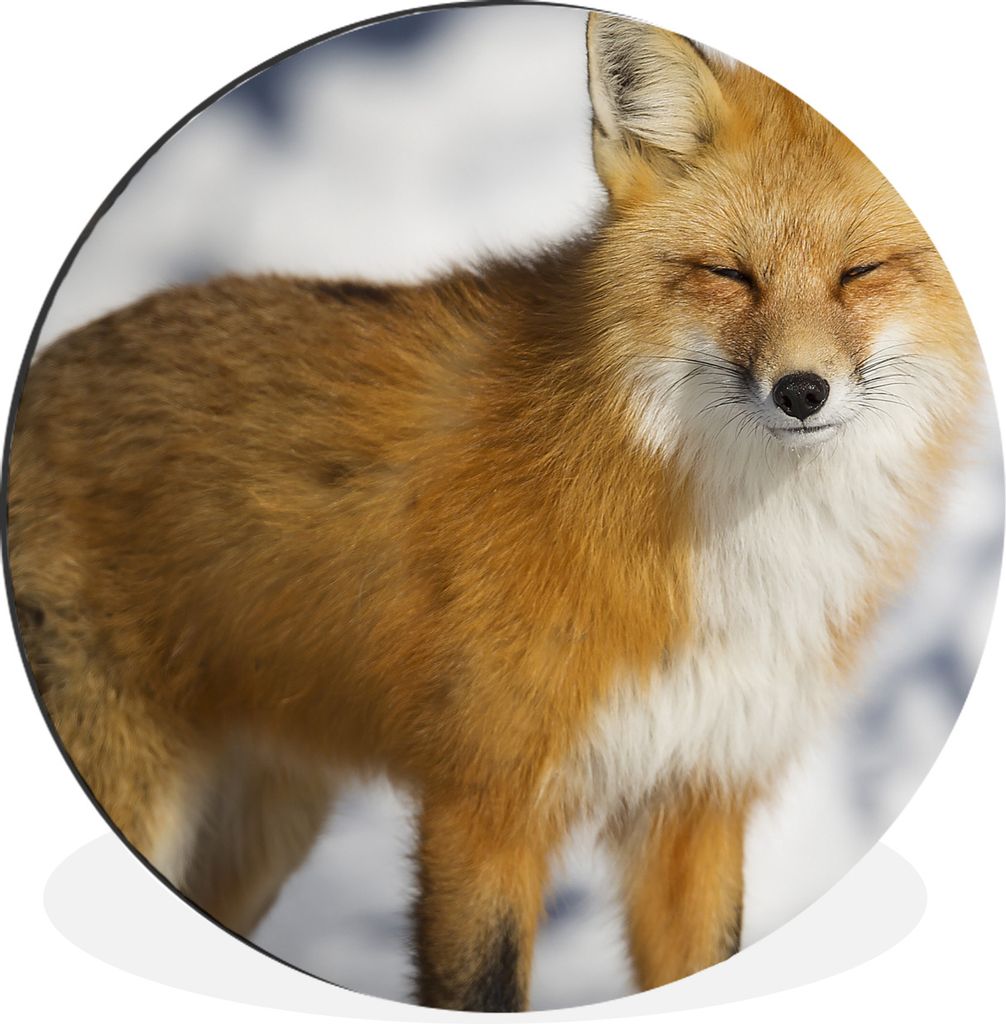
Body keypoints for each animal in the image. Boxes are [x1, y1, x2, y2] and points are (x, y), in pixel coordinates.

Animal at [4, 10, 981, 1013]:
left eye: (859, 272)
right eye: (729, 273)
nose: (800, 391)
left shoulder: (695, 795)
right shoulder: (486, 803)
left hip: (262, 833)